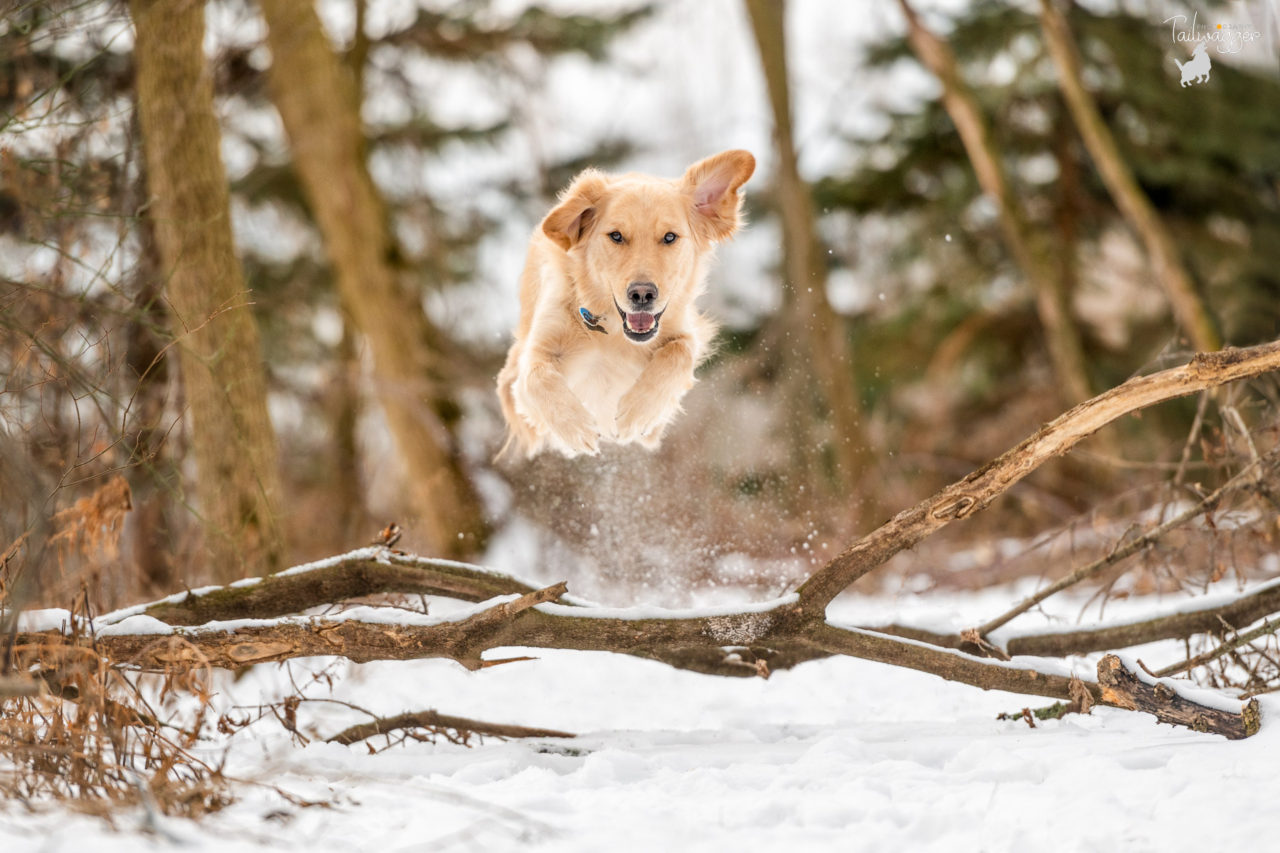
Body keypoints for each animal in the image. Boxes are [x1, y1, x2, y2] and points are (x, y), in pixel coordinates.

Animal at [494, 151, 752, 458]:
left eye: (670, 237)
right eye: (616, 236)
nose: (642, 295)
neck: (614, 334)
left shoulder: (686, 332)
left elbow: (679, 352)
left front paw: (637, 413)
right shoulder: (527, 361)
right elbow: (536, 377)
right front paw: (576, 427)